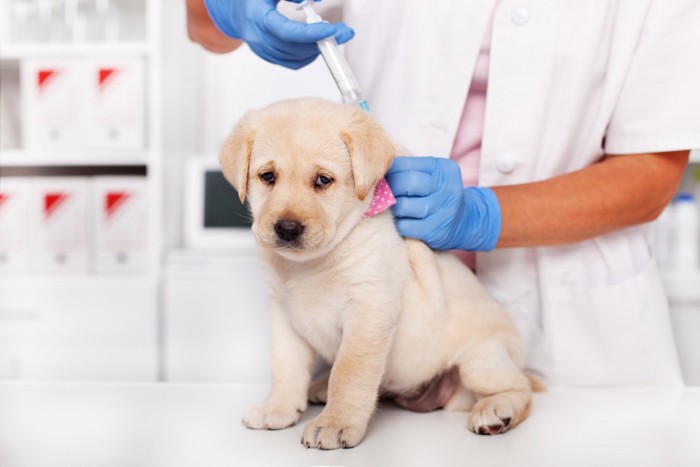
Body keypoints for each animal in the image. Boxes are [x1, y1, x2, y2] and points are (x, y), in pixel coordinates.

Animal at [221, 98, 532, 450]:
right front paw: (279, 407)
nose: (287, 228)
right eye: (268, 176)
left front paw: (335, 422)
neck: (311, 263)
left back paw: (496, 411)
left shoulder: (369, 307)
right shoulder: (283, 315)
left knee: (520, 387)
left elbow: (349, 371)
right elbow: (285, 365)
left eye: (323, 181)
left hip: (481, 358)